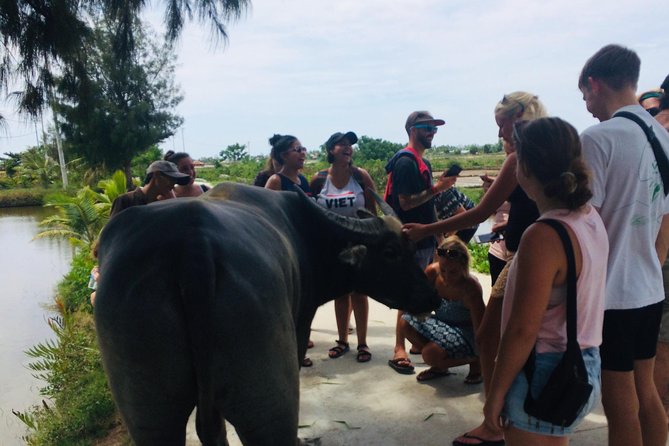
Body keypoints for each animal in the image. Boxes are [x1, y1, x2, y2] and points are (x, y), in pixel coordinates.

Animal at [94, 182, 438, 446]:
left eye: (411, 248)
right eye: (391, 252)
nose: (430, 296)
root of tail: (193, 247)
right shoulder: (300, 324)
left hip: (149, 412)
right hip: (268, 401)